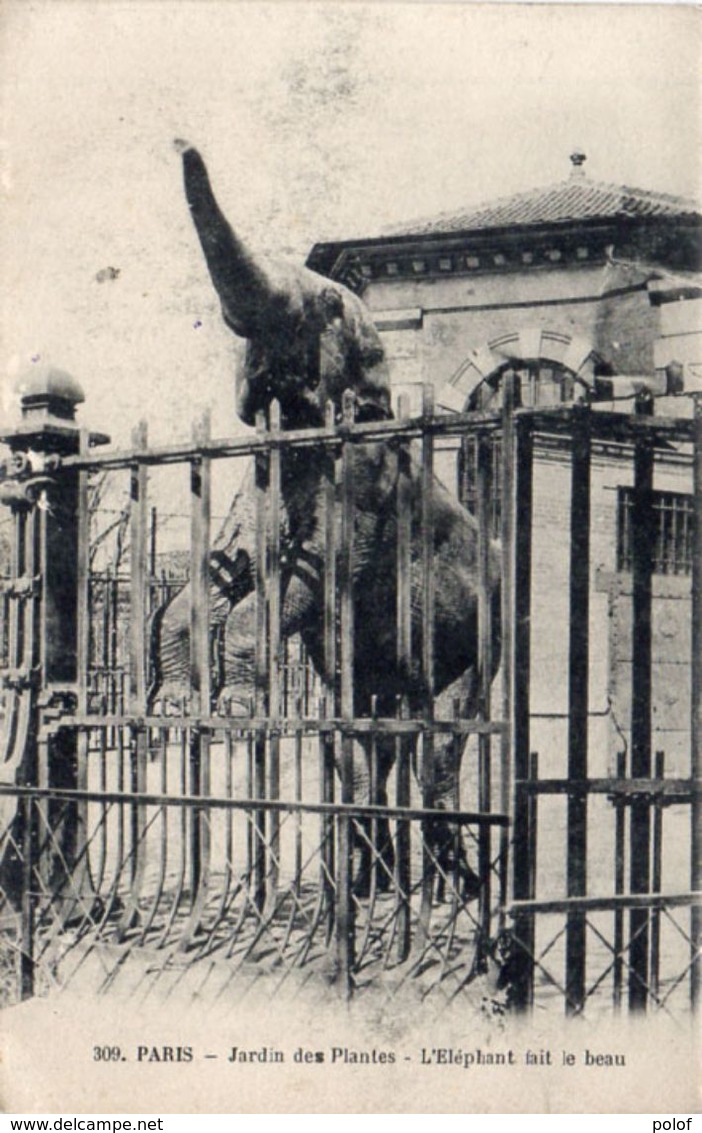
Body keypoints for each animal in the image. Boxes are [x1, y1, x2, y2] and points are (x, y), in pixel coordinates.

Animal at [149, 143, 498, 901]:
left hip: (482, 640)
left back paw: (454, 887)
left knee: (439, 741)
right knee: (361, 746)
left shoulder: (364, 488)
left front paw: (237, 715)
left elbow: (299, 584)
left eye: (330, 301)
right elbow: (221, 577)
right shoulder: (258, 479)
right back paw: (372, 885)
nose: (181, 145)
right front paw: (170, 712)